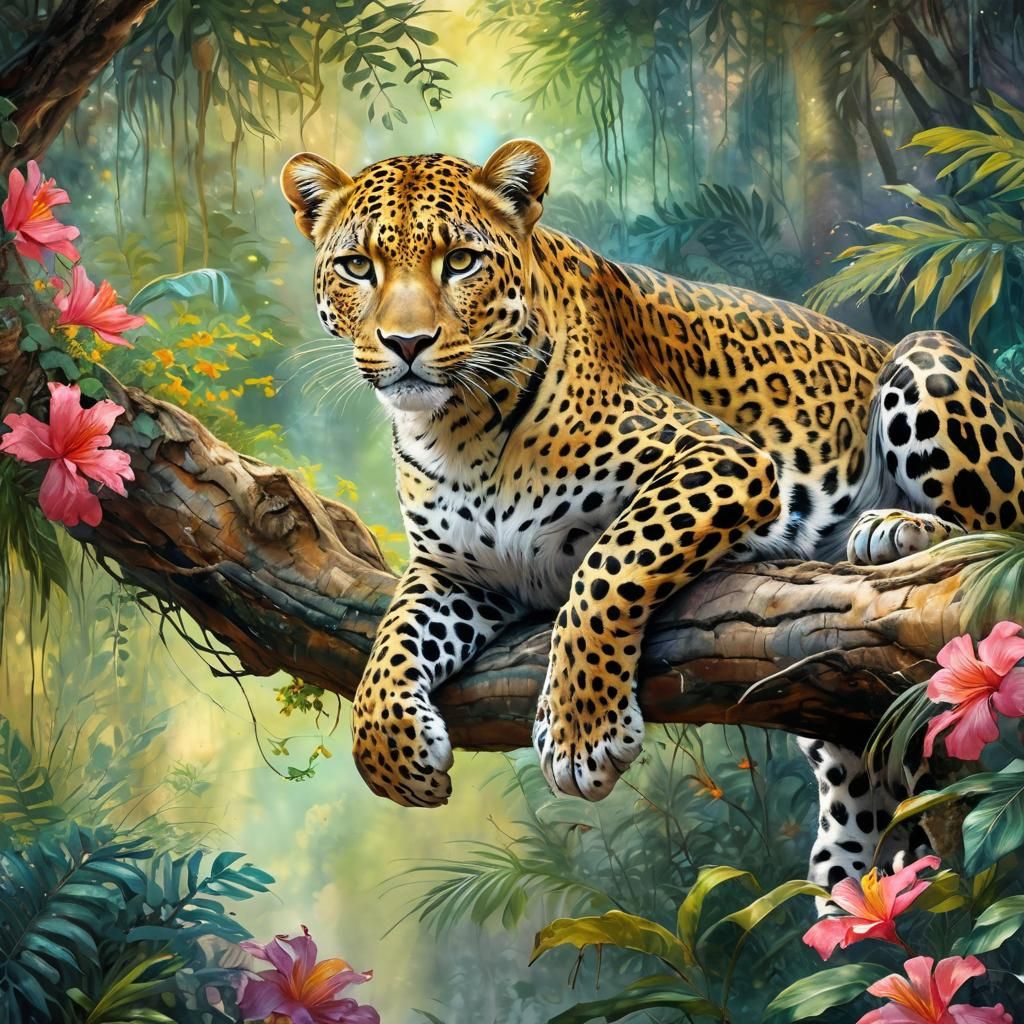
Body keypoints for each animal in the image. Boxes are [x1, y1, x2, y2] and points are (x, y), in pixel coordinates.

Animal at [280, 139, 1024, 892]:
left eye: (460, 261)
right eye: (357, 266)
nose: (406, 344)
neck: (456, 430)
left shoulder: (725, 458)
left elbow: (608, 563)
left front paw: (581, 733)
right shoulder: (456, 573)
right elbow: (390, 644)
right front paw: (393, 753)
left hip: (928, 359)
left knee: (1000, 533)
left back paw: (893, 529)